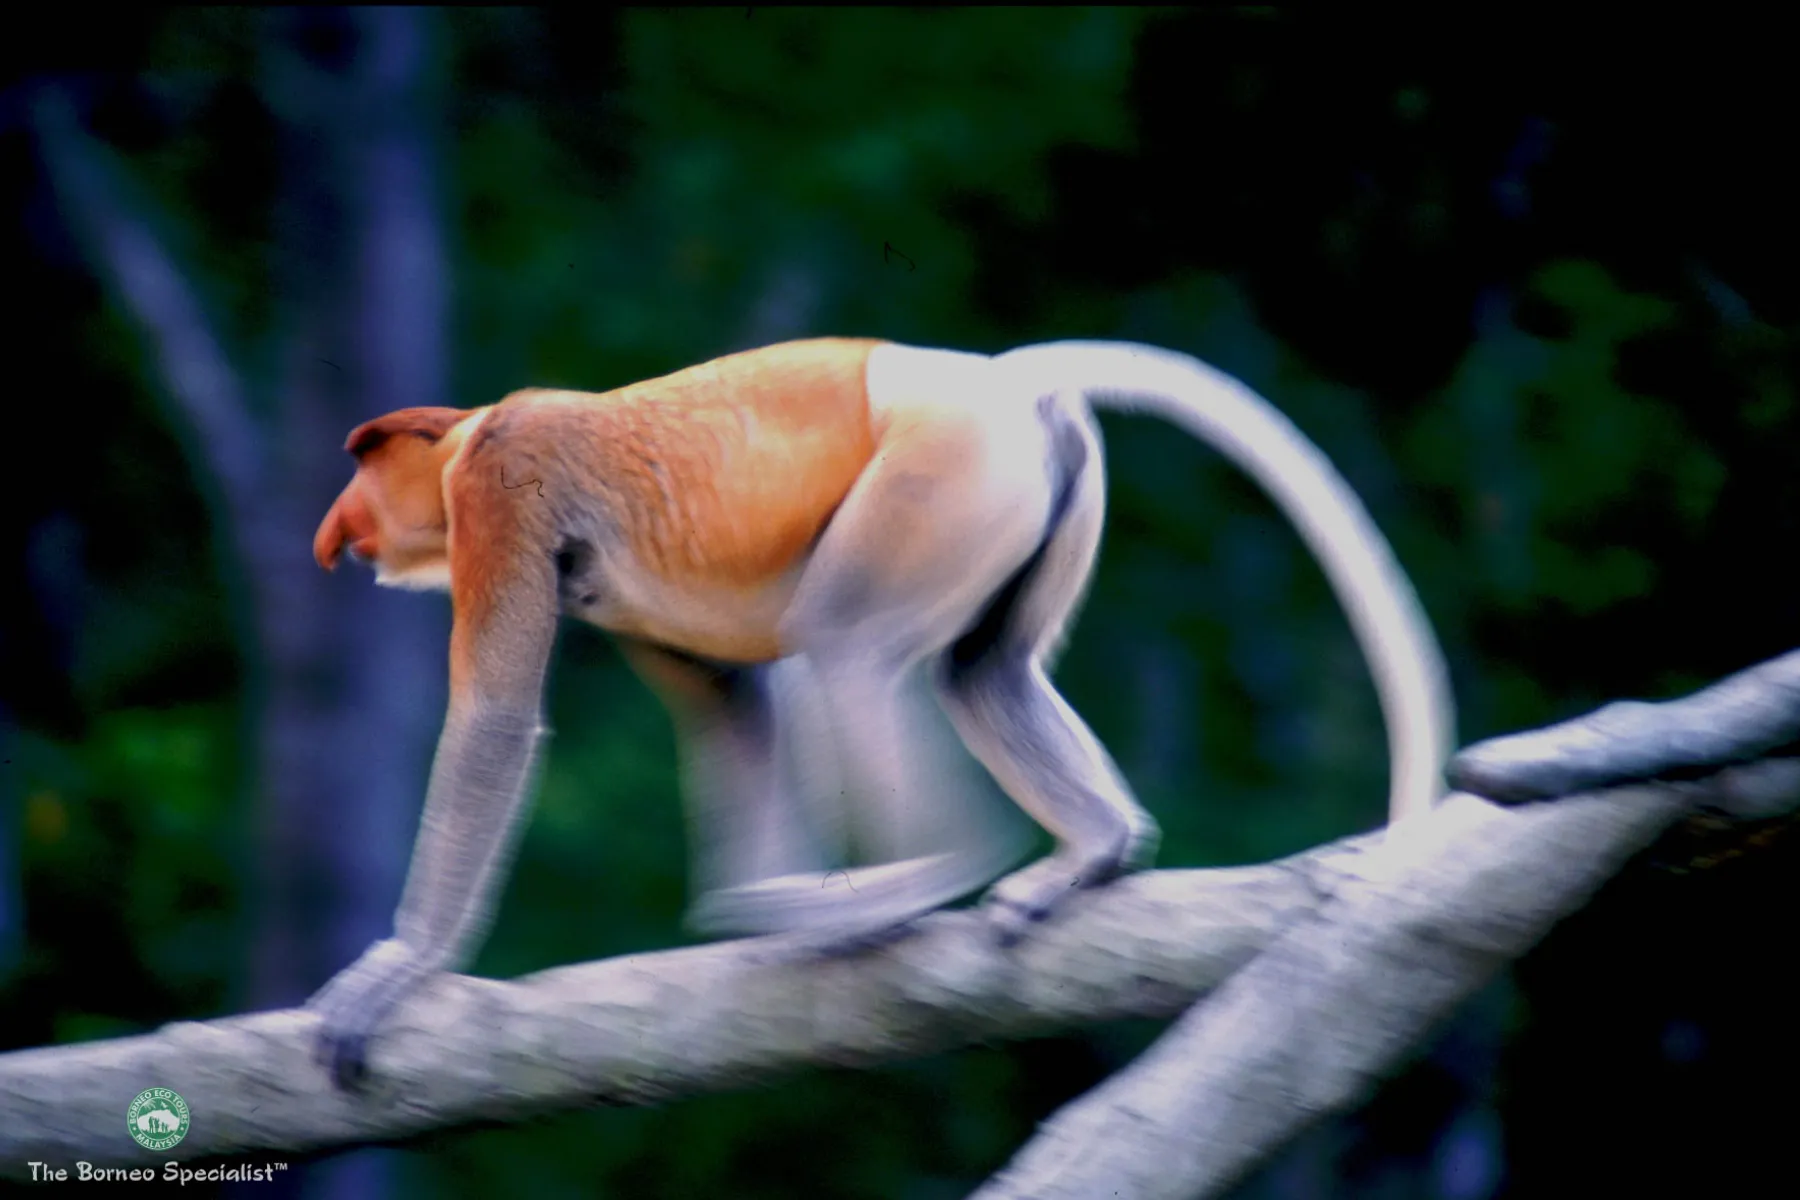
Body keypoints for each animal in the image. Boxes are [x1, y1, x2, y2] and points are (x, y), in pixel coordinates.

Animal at [306, 337, 1456, 1088]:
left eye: (363, 459)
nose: (333, 531)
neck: (467, 443)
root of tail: (999, 379)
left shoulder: (507, 494)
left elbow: (497, 719)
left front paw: (397, 968)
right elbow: (731, 705)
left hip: (943, 478)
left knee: (851, 644)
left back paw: (915, 887)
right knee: (984, 670)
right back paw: (1090, 850)